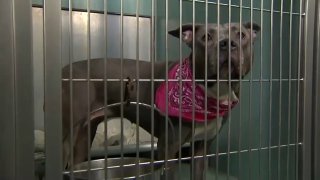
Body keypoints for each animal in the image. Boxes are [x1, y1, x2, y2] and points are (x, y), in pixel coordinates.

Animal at [62, 22, 260, 179]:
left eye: (241, 35)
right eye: (206, 37)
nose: (227, 44)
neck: (210, 93)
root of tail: (64, 69)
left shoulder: (201, 149)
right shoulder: (168, 148)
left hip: (84, 136)